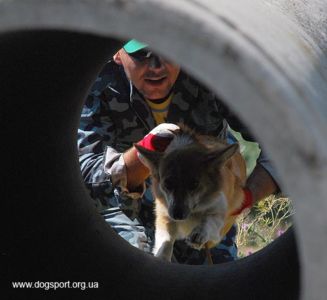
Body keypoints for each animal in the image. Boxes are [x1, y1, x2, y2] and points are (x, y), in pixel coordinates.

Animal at [135, 125, 246, 262]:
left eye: (194, 184)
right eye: (167, 184)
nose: (177, 215)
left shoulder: (219, 212)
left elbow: (208, 221)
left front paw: (199, 233)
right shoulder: (165, 216)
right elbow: (166, 241)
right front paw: (162, 256)